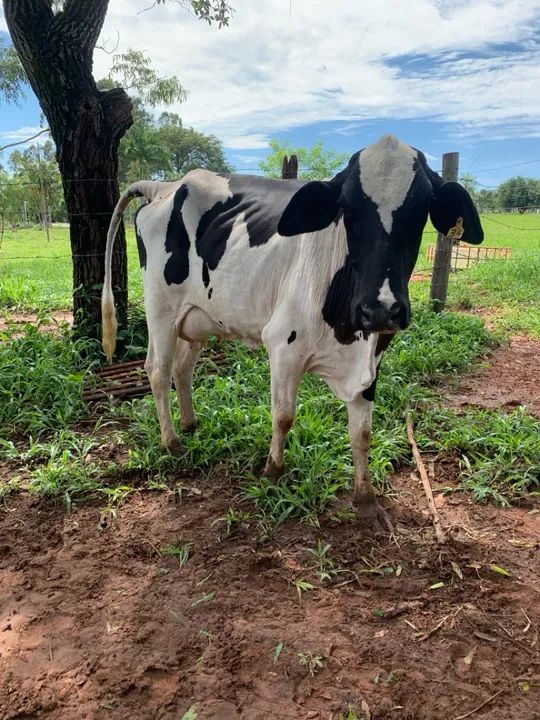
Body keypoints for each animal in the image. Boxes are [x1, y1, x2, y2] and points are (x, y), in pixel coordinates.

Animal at [101, 134, 483, 528]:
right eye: (347, 208)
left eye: (422, 209)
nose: (380, 309)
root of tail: (165, 186)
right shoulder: (283, 347)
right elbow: (284, 416)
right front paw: (273, 471)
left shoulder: (373, 357)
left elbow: (362, 431)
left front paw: (365, 498)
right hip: (160, 309)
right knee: (158, 371)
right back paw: (172, 442)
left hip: (197, 317)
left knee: (181, 369)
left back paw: (191, 425)